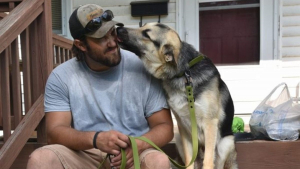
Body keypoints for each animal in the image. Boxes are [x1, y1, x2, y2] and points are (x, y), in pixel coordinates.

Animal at [116, 22, 238, 169]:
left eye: (146, 34)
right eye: (142, 25)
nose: (118, 28)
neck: (184, 73)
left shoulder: (210, 124)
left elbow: (208, 161)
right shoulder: (183, 127)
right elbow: (189, 160)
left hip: (225, 143)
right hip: (179, 138)